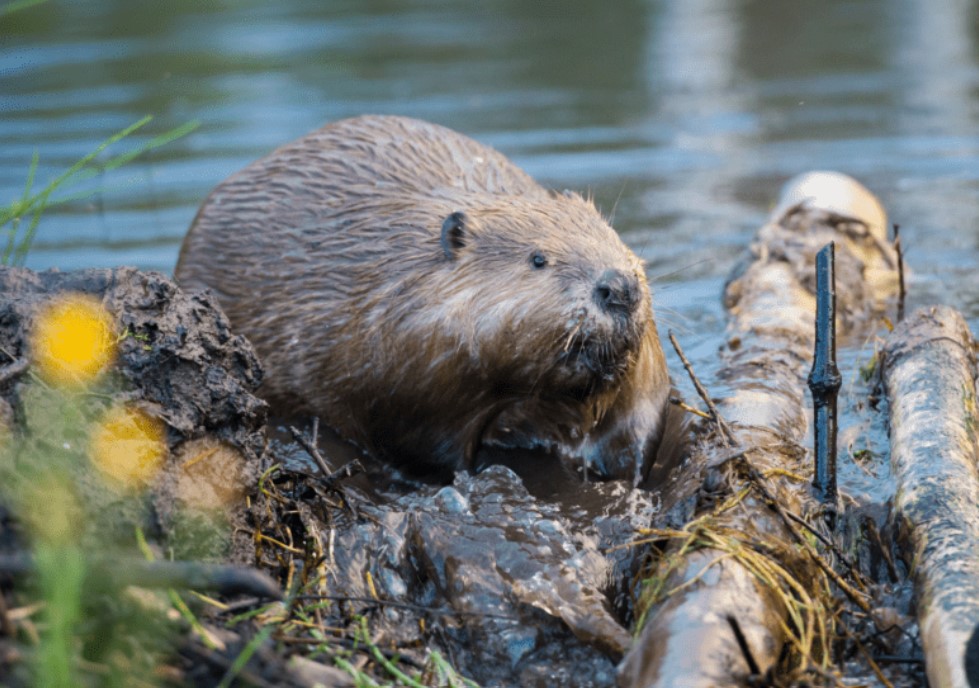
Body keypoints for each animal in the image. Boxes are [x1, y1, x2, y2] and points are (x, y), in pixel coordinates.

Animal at [176, 115, 672, 482]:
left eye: (615, 237)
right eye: (538, 258)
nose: (619, 287)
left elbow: (639, 423)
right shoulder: (406, 375)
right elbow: (426, 452)